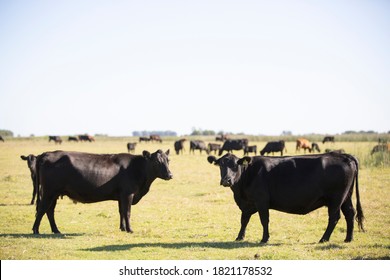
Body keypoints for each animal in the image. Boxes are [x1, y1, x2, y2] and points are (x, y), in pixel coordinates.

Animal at [32, 149, 173, 234]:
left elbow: (121, 212)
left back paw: (56, 230)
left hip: (54, 193)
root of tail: (46, 154)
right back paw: (36, 230)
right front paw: (129, 229)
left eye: (168, 160)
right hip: (49, 192)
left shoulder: (121, 195)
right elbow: (127, 212)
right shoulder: (128, 194)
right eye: (156, 161)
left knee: (49, 210)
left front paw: (122, 228)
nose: (170, 175)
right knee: (42, 209)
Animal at [209, 153, 364, 243]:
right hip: (346, 197)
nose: (226, 180)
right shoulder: (247, 204)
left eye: (236, 165)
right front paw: (240, 237)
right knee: (350, 213)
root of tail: (344, 156)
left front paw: (264, 239)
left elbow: (264, 220)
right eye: (221, 165)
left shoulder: (262, 201)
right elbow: (244, 220)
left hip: (336, 199)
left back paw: (323, 239)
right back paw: (348, 239)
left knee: (334, 217)